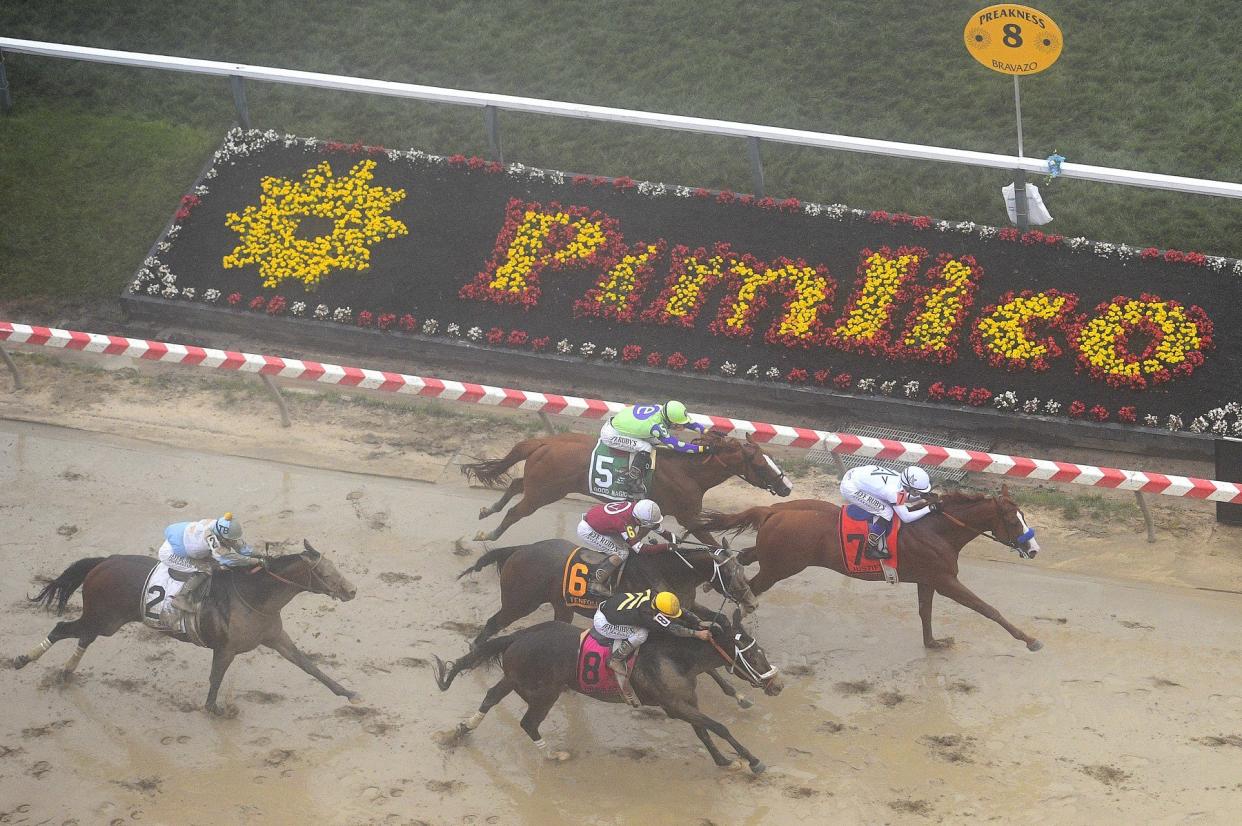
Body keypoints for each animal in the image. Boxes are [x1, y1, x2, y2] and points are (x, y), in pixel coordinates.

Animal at [15, 541, 362, 715]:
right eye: (325, 573)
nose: (352, 590)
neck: (254, 596)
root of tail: (103, 562)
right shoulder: (225, 649)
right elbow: (215, 681)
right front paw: (215, 710)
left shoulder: (275, 638)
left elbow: (310, 667)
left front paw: (349, 694)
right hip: (103, 617)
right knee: (62, 628)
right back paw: (24, 659)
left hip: (106, 620)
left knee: (83, 636)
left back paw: (65, 672)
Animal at [429, 608, 775, 770]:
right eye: (755, 654)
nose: (777, 683)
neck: (676, 657)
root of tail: (518, 635)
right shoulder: (675, 705)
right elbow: (718, 727)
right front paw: (752, 761)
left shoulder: (683, 704)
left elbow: (704, 731)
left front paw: (725, 761)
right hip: (545, 692)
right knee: (528, 722)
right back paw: (553, 755)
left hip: (516, 679)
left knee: (490, 697)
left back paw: (460, 730)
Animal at [462, 427, 789, 544]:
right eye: (761, 465)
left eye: (772, 458)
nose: (786, 488)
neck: (688, 471)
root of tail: (545, 442)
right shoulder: (687, 516)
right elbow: (710, 542)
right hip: (544, 492)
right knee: (515, 512)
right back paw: (487, 535)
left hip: (541, 484)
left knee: (516, 484)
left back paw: (487, 510)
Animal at [700, 484, 1048, 650]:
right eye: (1013, 521)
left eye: (1023, 517)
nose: (1033, 549)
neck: (937, 529)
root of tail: (773, 510)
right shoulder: (945, 579)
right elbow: (987, 609)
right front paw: (1030, 640)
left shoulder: (928, 579)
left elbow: (925, 613)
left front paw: (933, 643)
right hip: (780, 566)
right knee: (747, 592)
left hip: (774, 557)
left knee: (743, 560)